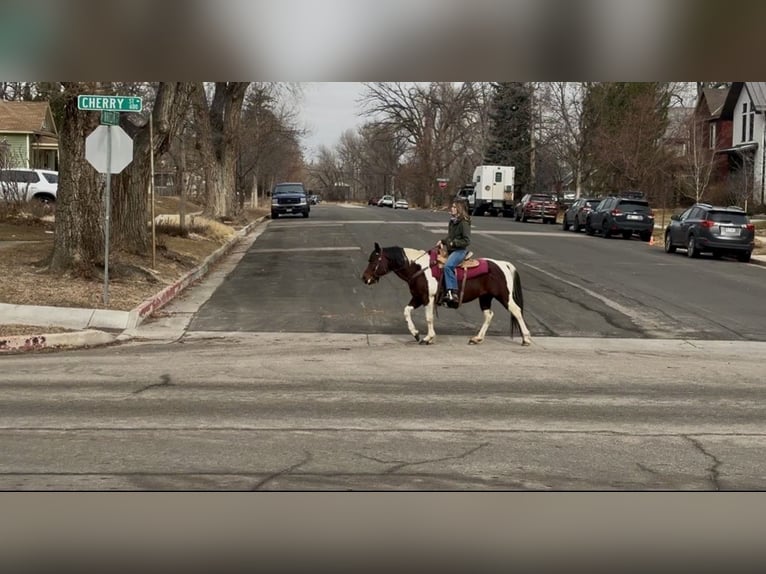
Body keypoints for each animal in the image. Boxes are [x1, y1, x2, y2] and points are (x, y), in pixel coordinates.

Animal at [361, 242, 532, 346]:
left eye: (373, 260)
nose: (364, 278)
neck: (418, 268)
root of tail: (503, 264)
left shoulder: (427, 298)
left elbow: (429, 318)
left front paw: (428, 338)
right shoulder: (417, 297)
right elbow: (406, 311)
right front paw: (415, 334)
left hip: (504, 296)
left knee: (516, 311)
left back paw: (526, 338)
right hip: (485, 297)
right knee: (489, 315)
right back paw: (477, 338)